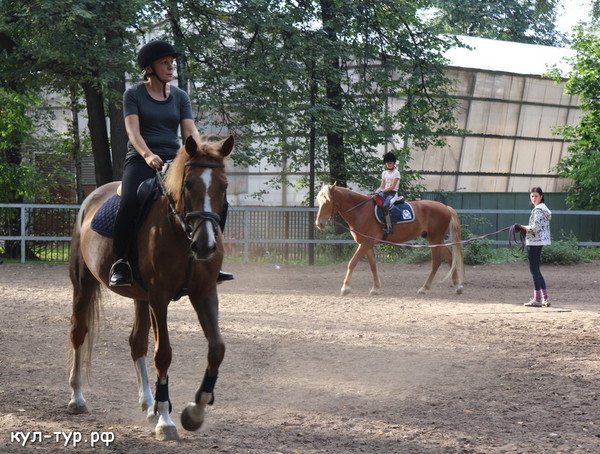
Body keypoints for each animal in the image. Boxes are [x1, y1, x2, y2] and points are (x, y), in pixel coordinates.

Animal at [67, 135, 232, 440]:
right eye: (188, 184)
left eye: (224, 185)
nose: (205, 246)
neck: (181, 232)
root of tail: (90, 199)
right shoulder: (159, 297)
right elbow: (163, 354)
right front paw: (166, 420)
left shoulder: (204, 293)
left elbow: (217, 349)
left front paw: (193, 413)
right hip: (84, 285)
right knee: (78, 333)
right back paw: (77, 398)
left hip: (139, 297)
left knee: (136, 343)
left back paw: (147, 404)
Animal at [316, 183, 466, 296]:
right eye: (319, 201)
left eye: (327, 202)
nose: (319, 223)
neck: (360, 211)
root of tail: (445, 207)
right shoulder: (367, 244)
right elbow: (373, 265)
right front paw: (375, 288)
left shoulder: (365, 243)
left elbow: (352, 263)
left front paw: (345, 288)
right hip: (436, 239)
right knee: (450, 258)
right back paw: (458, 286)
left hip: (435, 240)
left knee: (436, 262)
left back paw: (424, 288)